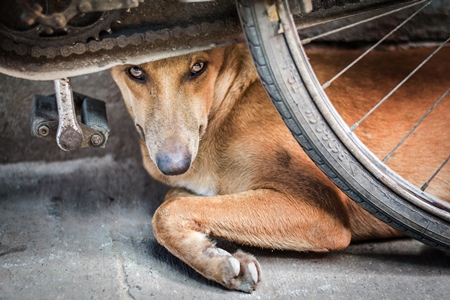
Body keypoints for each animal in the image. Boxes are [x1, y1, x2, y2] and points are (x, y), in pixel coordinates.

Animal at [110, 43, 448, 292]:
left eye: (198, 68)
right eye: (135, 71)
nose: (174, 165)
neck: (230, 101)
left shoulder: (320, 211)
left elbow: (165, 211)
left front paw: (213, 260)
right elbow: (174, 201)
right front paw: (211, 256)